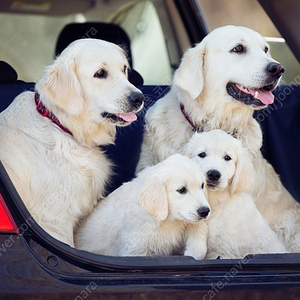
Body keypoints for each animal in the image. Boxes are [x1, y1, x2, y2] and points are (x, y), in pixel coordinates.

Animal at [75, 154, 211, 258]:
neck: (165, 221)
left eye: (202, 185)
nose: (205, 211)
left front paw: (193, 253)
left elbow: (199, 228)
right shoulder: (135, 247)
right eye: (182, 190)